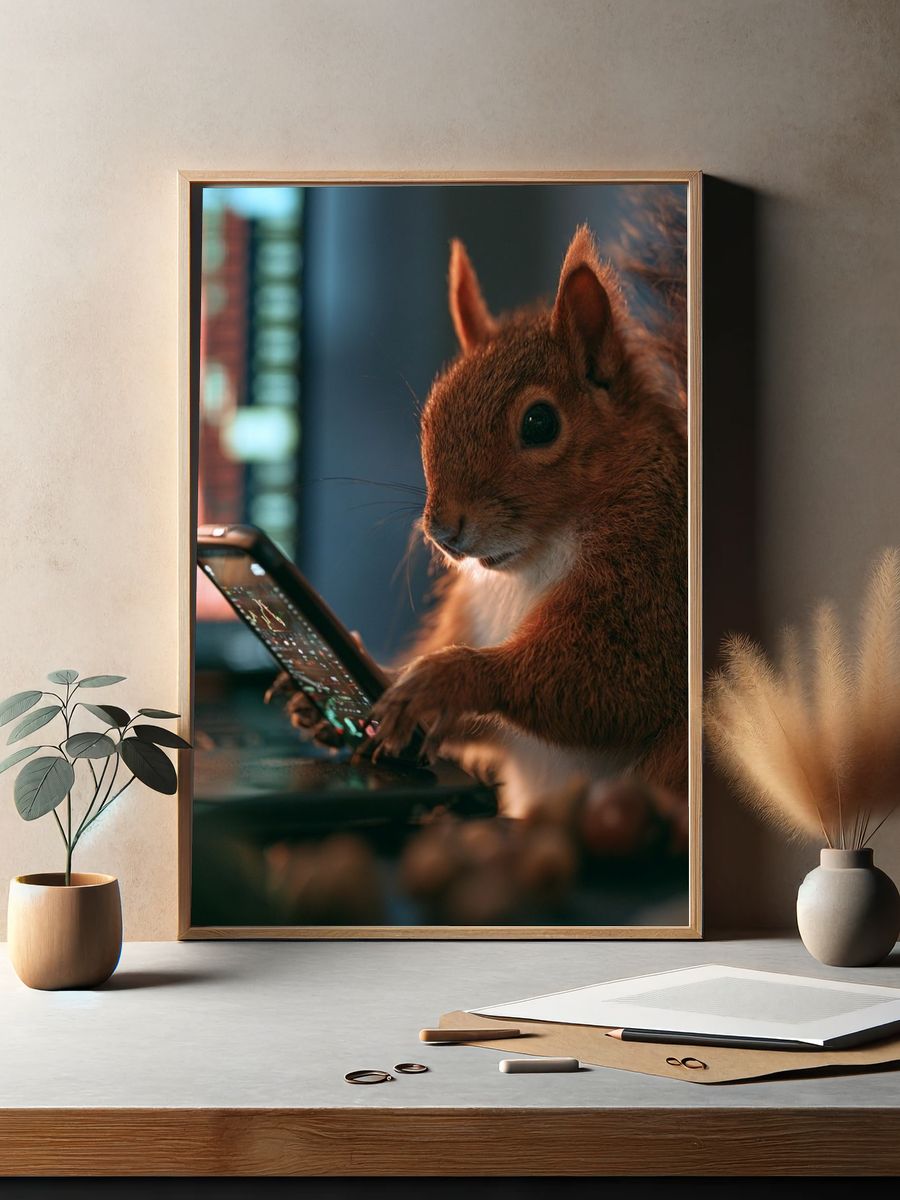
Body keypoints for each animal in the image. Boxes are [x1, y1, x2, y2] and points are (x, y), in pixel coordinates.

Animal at [366, 222, 689, 812]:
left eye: (540, 423)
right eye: (431, 413)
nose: (442, 531)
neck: (532, 559)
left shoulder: (653, 579)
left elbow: (613, 683)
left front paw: (447, 676)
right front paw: (369, 671)